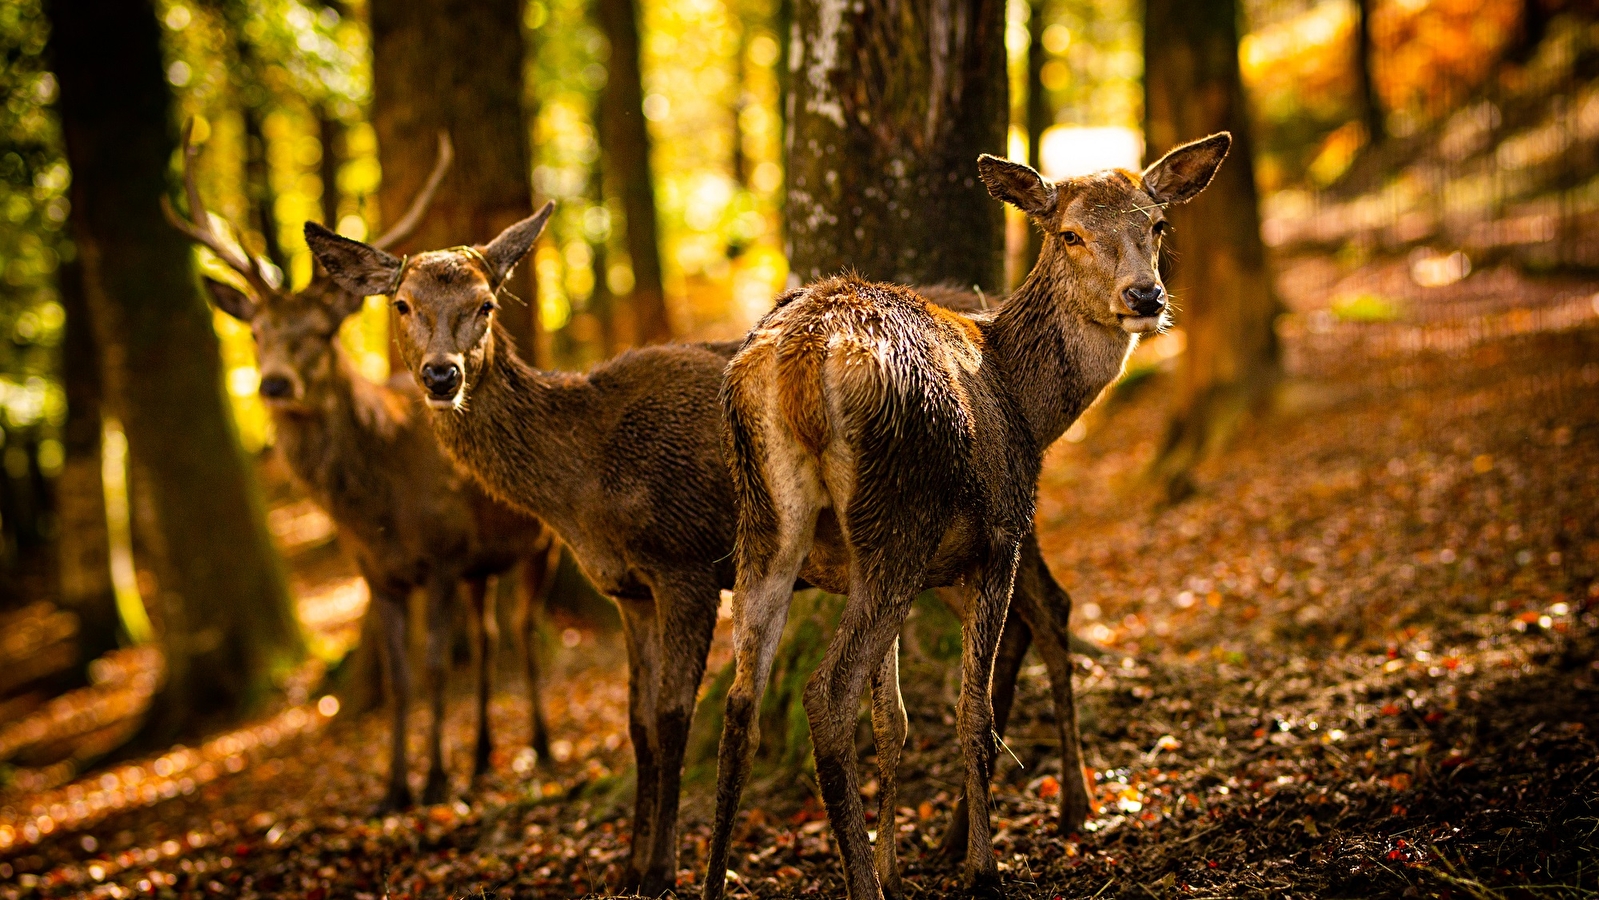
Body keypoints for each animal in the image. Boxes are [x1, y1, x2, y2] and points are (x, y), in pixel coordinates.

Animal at [165, 123, 566, 812]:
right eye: (255, 334)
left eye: (320, 333)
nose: (274, 383)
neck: (375, 511)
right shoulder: (378, 575)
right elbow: (402, 679)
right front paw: (395, 788)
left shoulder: (441, 556)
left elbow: (434, 669)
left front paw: (434, 781)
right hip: (481, 565)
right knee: (488, 637)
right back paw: (483, 756)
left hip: (539, 545)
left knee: (521, 630)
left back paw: (537, 746)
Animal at [305, 209, 1112, 895]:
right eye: (401, 305)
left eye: (484, 303)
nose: (441, 374)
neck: (582, 488)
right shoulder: (627, 590)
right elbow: (635, 725)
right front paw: (629, 865)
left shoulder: (684, 566)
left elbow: (670, 718)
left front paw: (661, 868)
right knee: (1025, 618)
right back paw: (966, 837)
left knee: (1049, 604)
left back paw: (1071, 808)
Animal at [703, 133, 1234, 900]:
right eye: (1069, 234)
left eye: (1157, 225)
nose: (1145, 296)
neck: (1028, 404)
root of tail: (803, 358)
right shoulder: (998, 539)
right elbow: (971, 714)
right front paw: (982, 870)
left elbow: (892, 721)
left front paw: (898, 869)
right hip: (900, 515)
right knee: (827, 692)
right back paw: (870, 883)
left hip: (767, 523)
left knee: (741, 702)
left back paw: (718, 880)